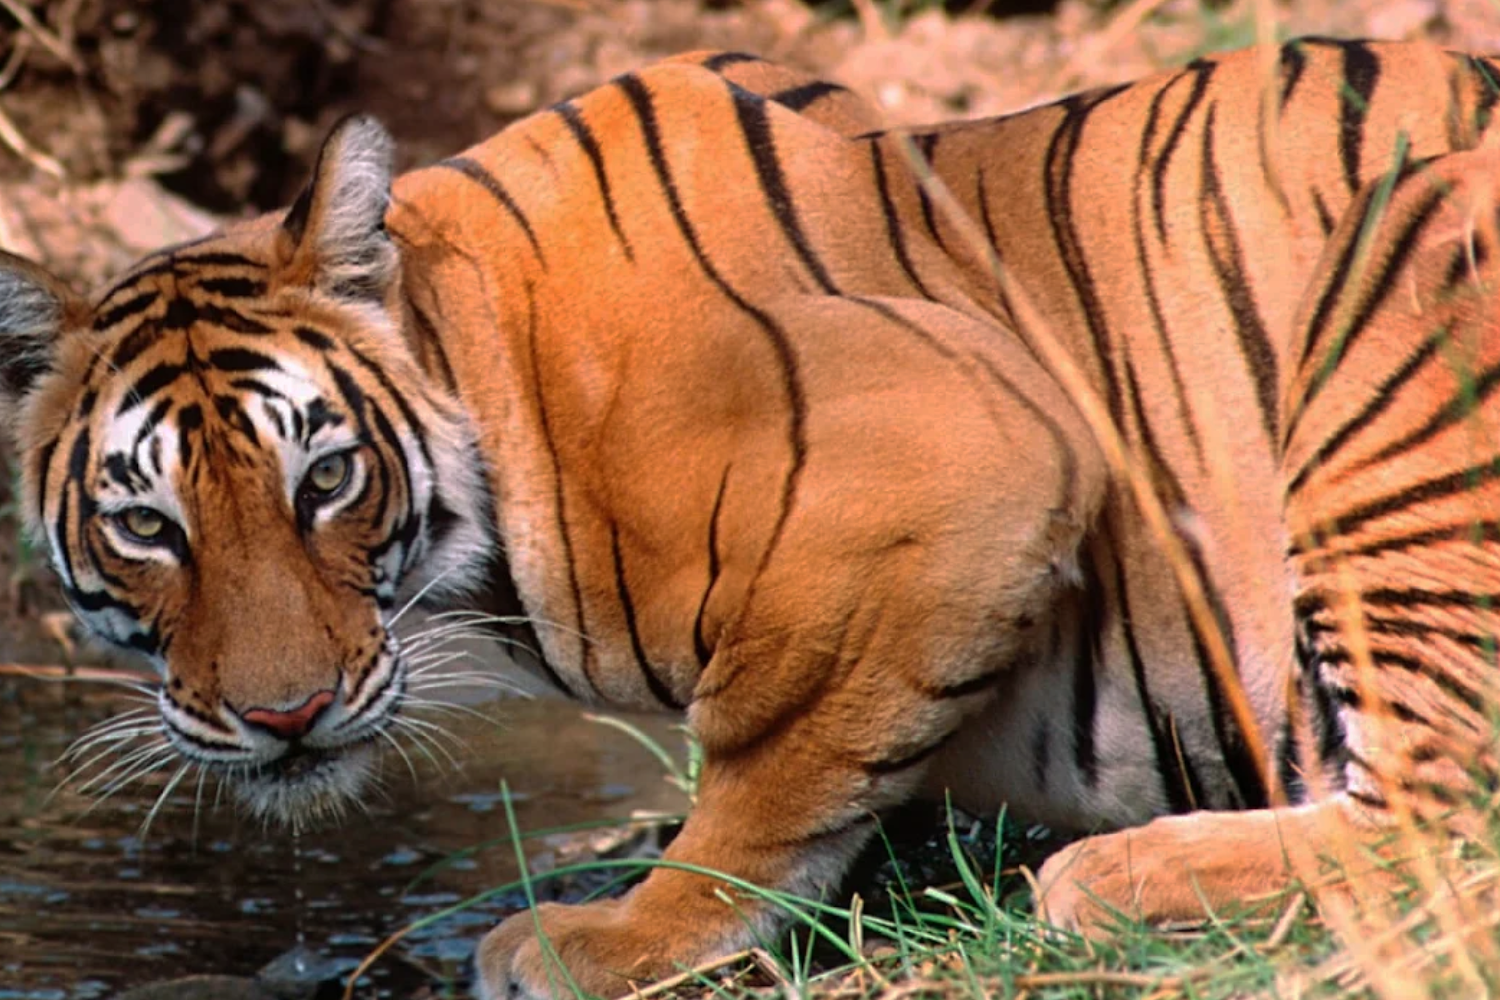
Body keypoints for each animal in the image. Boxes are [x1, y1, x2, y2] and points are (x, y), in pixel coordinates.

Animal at [1, 36, 1498, 999]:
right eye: (150, 527)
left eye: (324, 481)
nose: (287, 717)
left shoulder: (974, 452)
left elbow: (772, 757)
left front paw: (617, 933)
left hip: (1390, 341)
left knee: (1440, 809)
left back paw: (1103, 878)